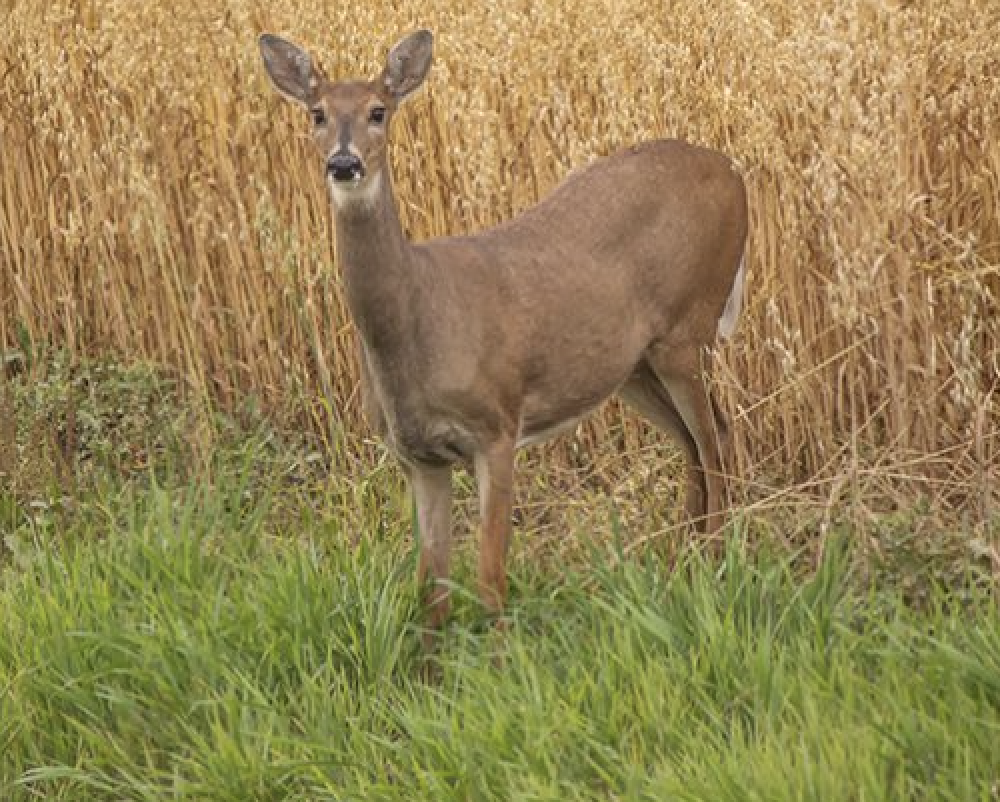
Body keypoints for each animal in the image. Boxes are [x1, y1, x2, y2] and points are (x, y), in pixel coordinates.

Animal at [258, 29, 749, 641]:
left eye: (378, 111)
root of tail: (737, 176)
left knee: (718, 439)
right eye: (318, 113)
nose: (344, 162)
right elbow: (431, 586)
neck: (418, 320)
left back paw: (714, 566)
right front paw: (431, 664)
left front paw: (502, 655)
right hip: (632, 365)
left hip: (688, 328)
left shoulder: (496, 426)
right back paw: (678, 564)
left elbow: (490, 576)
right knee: (692, 444)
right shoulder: (418, 453)